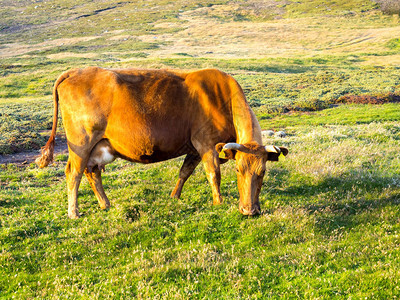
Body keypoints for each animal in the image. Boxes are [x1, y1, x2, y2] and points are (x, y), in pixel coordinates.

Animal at [36, 67, 288, 218]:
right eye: (238, 170)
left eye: (263, 172)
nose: (249, 210)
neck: (222, 98)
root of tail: (75, 71)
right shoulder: (206, 143)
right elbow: (213, 173)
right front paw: (218, 201)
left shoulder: (193, 148)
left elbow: (184, 172)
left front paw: (175, 196)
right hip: (81, 143)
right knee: (74, 173)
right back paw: (74, 212)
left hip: (98, 147)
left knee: (92, 172)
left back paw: (105, 204)